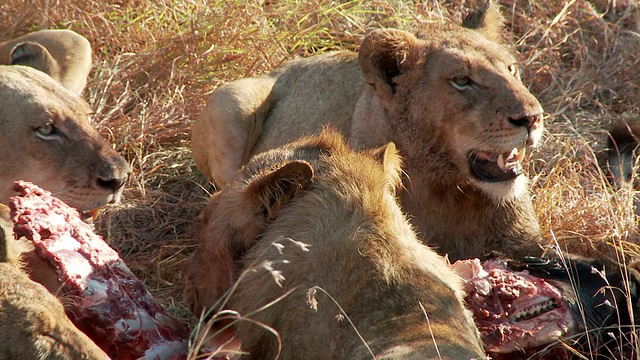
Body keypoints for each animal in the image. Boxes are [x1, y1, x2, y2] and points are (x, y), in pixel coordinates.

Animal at [191, 1, 544, 260]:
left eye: (512, 69)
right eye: (461, 81)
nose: (533, 118)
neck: (449, 188)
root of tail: (288, 64)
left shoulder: (529, 245)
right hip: (228, 98)